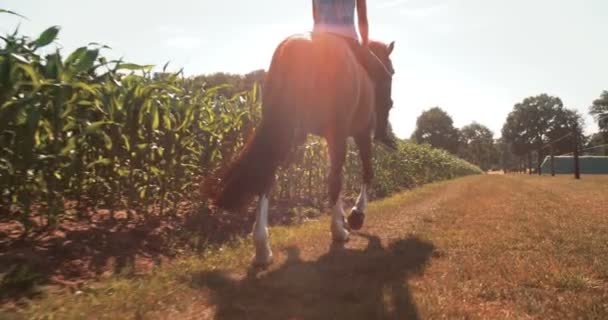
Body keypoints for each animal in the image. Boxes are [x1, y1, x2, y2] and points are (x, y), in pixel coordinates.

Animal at [208, 32, 394, 266]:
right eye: (392, 71)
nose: (390, 102)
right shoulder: (361, 134)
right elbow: (367, 173)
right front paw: (355, 216)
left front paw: (348, 217)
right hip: (333, 132)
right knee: (333, 179)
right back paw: (337, 231)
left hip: (286, 130)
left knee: (266, 176)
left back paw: (262, 248)